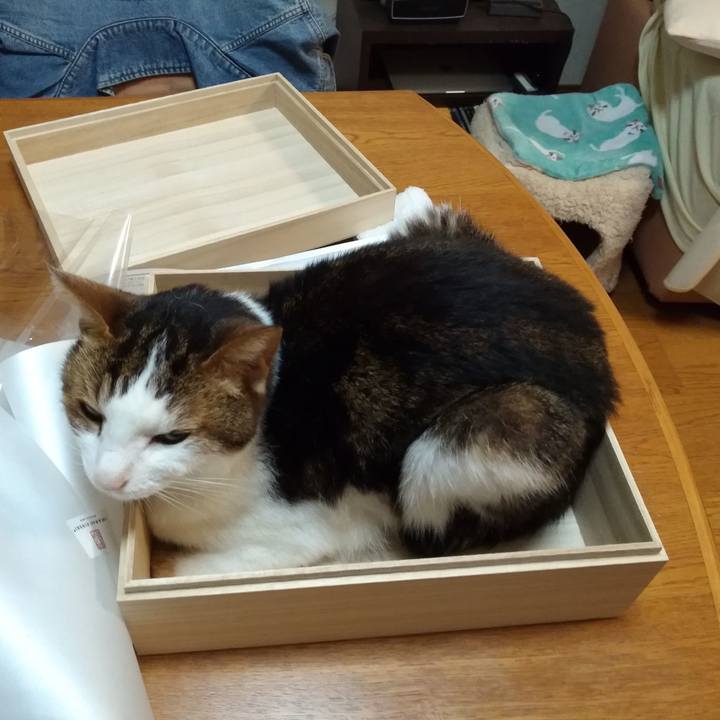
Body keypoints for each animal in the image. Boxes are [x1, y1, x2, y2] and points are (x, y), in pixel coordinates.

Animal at [57, 206, 617, 576]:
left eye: (171, 438)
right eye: (90, 412)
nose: (106, 479)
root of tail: (598, 352)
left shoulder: (300, 535)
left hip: (461, 445)